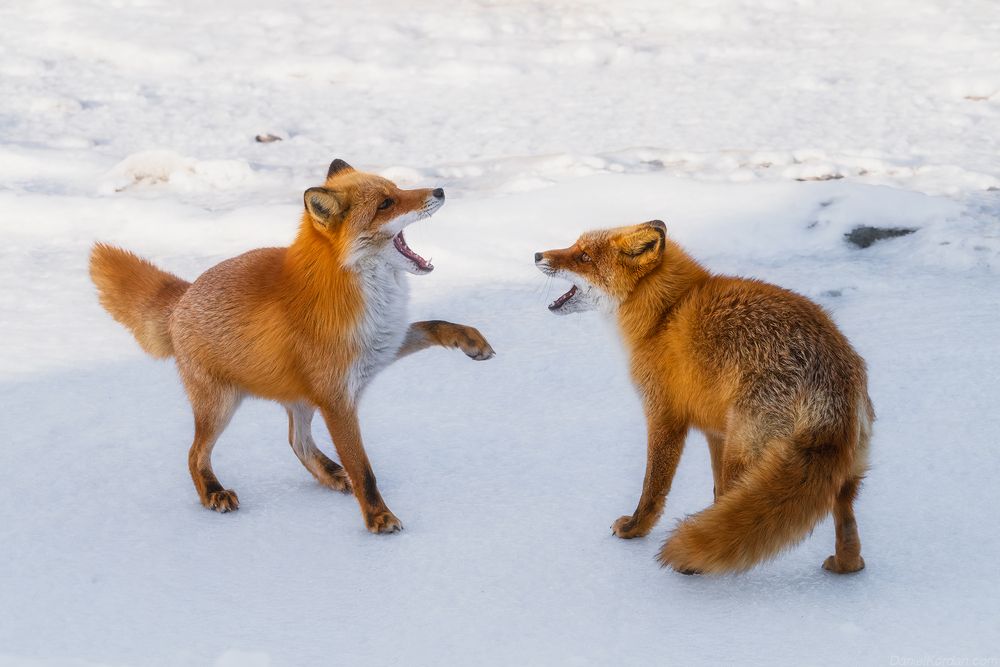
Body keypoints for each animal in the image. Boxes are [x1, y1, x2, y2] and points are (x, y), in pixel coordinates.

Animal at [90, 158, 495, 533]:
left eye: (396, 189)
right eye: (386, 203)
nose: (439, 191)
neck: (357, 292)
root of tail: (184, 294)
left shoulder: (381, 346)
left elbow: (433, 325)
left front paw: (470, 339)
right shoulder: (337, 399)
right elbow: (363, 469)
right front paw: (378, 517)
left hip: (299, 399)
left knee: (295, 441)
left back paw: (330, 473)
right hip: (220, 406)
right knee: (194, 454)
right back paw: (212, 492)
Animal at [535, 220, 873, 574]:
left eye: (584, 257)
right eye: (574, 245)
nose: (537, 255)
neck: (663, 313)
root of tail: (830, 376)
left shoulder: (664, 415)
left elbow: (653, 486)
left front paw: (635, 529)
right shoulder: (715, 431)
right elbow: (717, 493)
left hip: (745, 454)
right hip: (839, 468)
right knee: (845, 522)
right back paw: (845, 564)